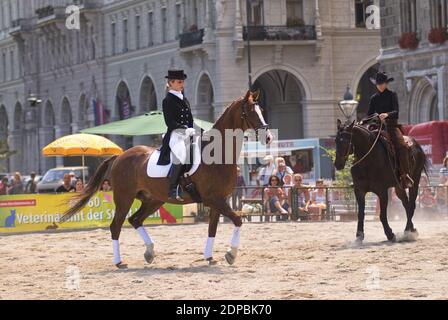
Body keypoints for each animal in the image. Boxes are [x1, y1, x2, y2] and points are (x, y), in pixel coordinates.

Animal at [62, 90, 272, 268]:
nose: (268, 137)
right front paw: (231, 254)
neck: (216, 155)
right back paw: (119, 262)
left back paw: (149, 252)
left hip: (154, 199)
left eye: (261, 110)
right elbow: (238, 219)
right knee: (116, 226)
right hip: (124, 198)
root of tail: (120, 156)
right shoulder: (213, 199)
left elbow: (213, 228)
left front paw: (210, 257)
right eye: (249, 112)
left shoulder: (219, 200)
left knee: (135, 220)